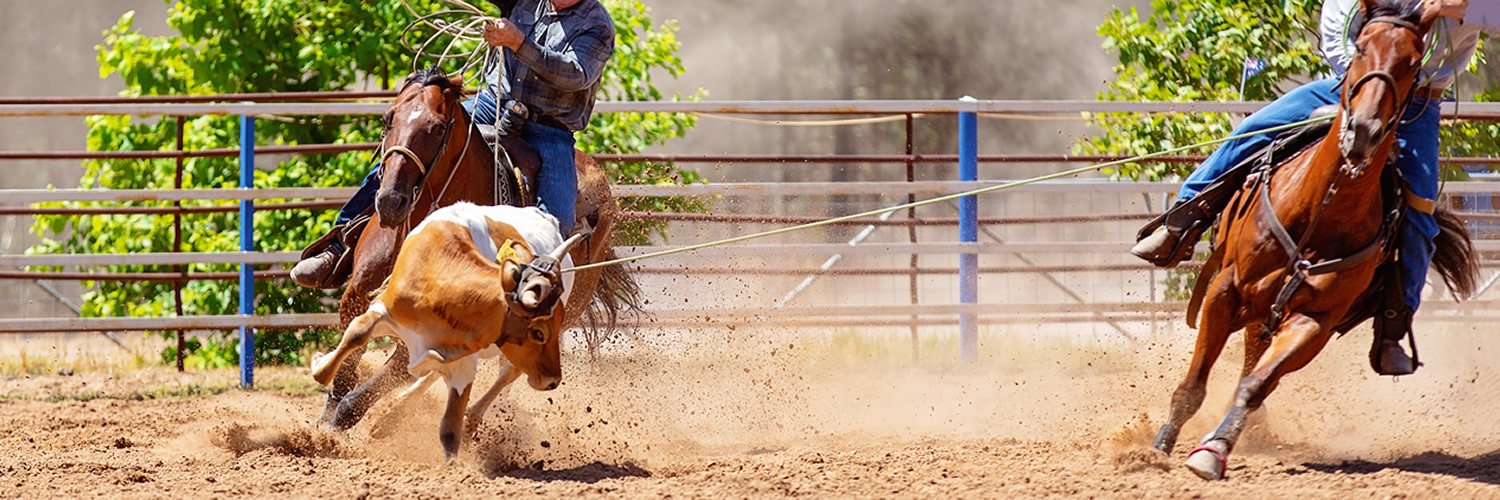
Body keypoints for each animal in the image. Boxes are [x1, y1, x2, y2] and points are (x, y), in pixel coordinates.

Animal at [310, 201, 579, 456]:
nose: (553, 381)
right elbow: (357, 333)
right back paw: (392, 415)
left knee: (506, 374)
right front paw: (319, 365)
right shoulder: (384, 310)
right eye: (537, 332)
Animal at [318, 68, 639, 429]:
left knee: (509, 368)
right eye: (388, 119)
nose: (389, 201)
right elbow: (353, 349)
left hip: (563, 309)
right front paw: (328, 414)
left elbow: (388, 376)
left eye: (437, 128)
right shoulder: (357, 296)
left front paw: (340, 422)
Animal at [1152, 0, 1482, 480]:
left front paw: (1213, 450)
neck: (1320, 209)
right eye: (1360, 47)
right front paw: (1157, 448)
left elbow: (1255, 385)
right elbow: (1193, 385)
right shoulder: (1224, 291)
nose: (1363, 130)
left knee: (1255, 368)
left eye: (1413, 62)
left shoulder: (1314, 321)